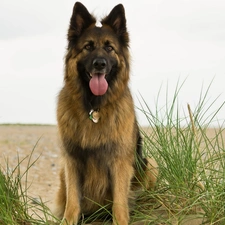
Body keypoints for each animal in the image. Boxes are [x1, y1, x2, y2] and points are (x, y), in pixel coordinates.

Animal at [54, 2, 157, 225]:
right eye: (88, 47)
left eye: (109, 48)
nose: (99, 64)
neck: (95, 108)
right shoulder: (71, 161)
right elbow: (72, 201)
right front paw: (68, 220)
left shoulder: (119, 161)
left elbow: (119, 202)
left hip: (150, 164)